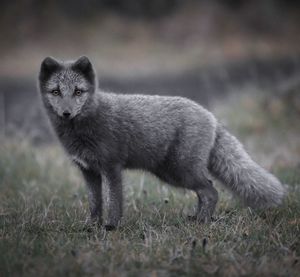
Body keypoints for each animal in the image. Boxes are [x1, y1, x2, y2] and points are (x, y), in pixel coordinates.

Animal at [38, 55, 284, 229]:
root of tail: (211, 116)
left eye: (78, 92)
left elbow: (114, 202)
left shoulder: (111, 168)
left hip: (179, 172)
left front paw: (111, 228)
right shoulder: (88, 171)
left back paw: (202, 222)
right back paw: (196, 218)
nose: (67, 113)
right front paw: (91, 227)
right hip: (172, 172)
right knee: (205, 192)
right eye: (56, 91)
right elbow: (95, 203)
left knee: (211, 191)